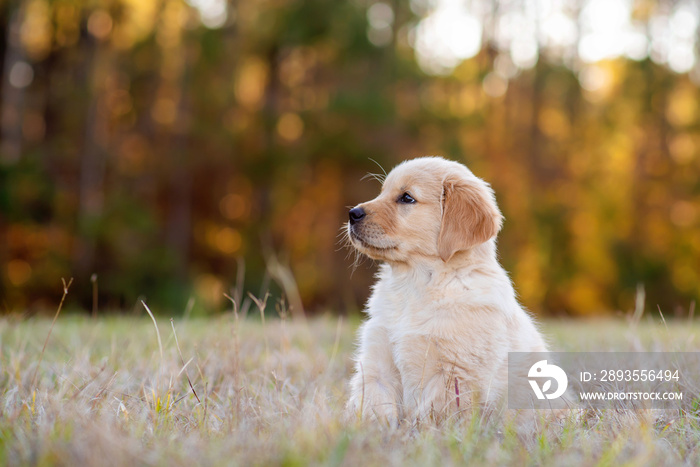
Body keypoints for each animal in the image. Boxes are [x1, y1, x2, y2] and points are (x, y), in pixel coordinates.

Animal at [348, 157, 548, 424]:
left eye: (406, 198)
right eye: (382, 193)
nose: (352, 214)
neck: (415, 283)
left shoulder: (454, 373)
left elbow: (430, 416)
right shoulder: (377, 363)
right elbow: (375, 406)